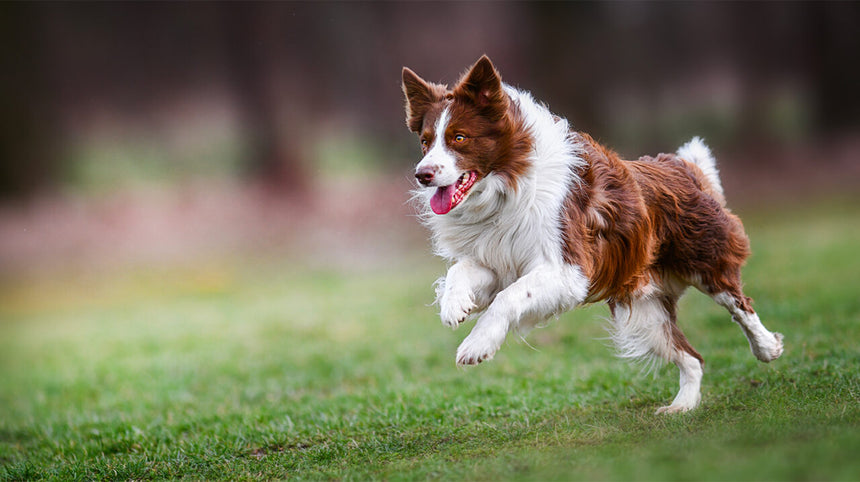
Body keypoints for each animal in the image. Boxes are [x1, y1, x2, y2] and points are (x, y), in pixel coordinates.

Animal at [400, 54, 784, 412]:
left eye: (459, 138)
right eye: (425, 142)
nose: (422, 174)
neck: (506, 185)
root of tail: (681, 166)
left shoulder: (569, 269)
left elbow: (509, 297)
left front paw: (476, 345)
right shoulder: (498, 258)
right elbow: (461, 270)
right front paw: (455, 305)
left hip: (705, 261)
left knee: (739, 305)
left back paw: (768, 347)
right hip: (643, 309)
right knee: (692, 357)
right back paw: (682, 406)